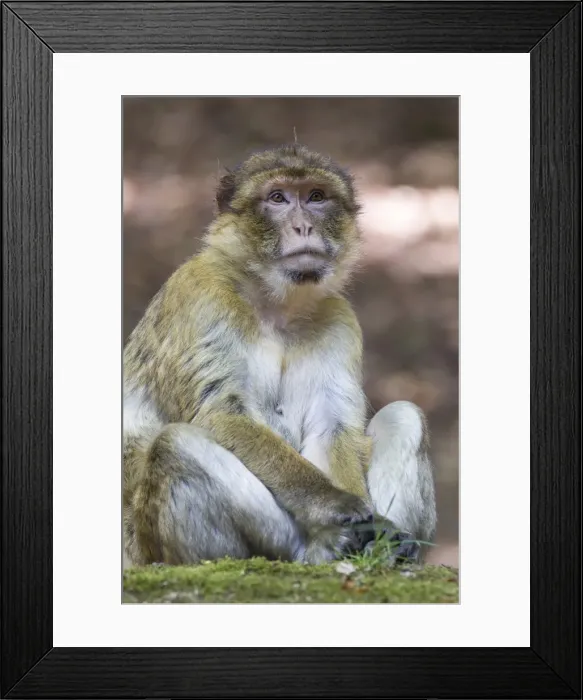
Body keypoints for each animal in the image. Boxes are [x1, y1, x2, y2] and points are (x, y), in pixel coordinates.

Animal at [123, 144, 436, 567]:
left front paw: (377, 525)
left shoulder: (338, 320)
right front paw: (341, 506)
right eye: (278, 198)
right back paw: (321, 545)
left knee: (404, 415)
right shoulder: (199, 294)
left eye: (316, 197)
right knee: (175, 446)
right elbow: (221, 414)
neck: (274, 304)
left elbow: (331, 427)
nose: (303, 227)